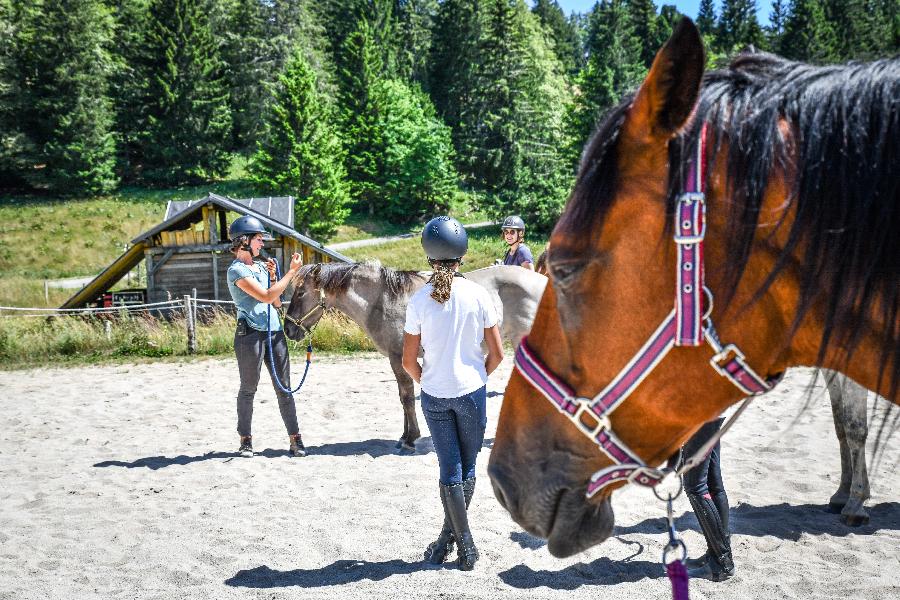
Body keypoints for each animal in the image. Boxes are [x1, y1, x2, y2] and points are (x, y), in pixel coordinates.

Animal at [284, 262, 548, 450]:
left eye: (300, 292)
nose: (288, 329)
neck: (382, 300)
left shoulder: (397, 357)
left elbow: (407, 397)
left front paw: (410, 439)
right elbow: (403, 398)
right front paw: (404, 435)